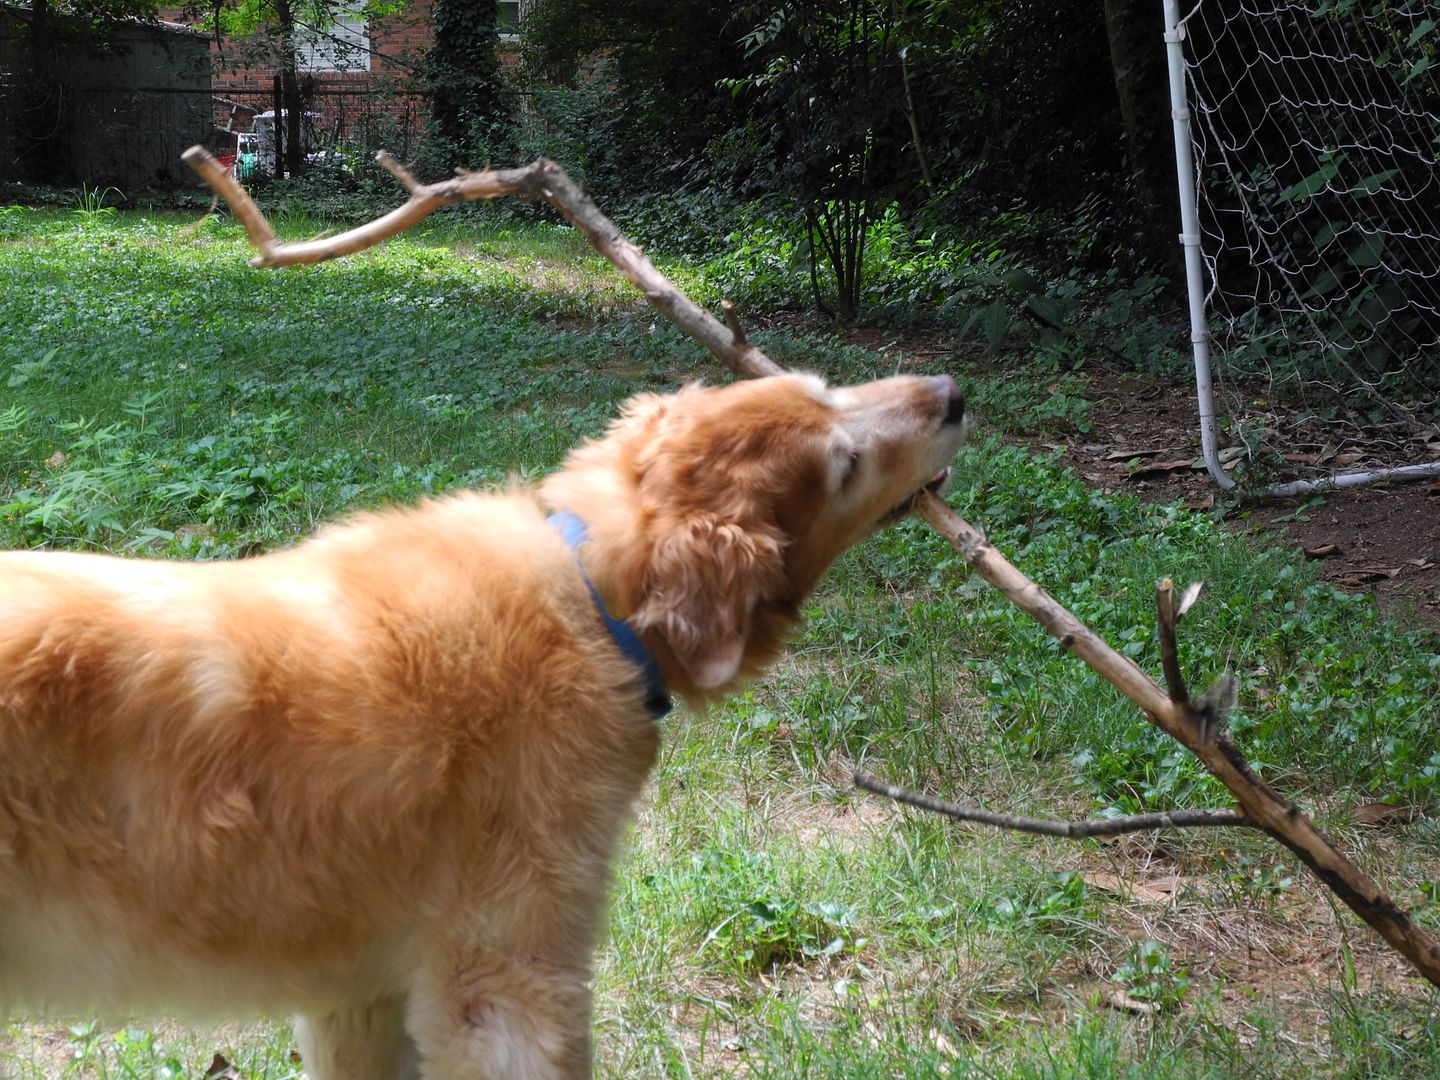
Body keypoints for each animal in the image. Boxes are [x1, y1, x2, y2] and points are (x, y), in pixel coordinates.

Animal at [2, 374, 967, 1080]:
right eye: (843, 464)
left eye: (825, 385)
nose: (953, 393)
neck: (592, 598)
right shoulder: (507, 982)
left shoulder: (362, 997)